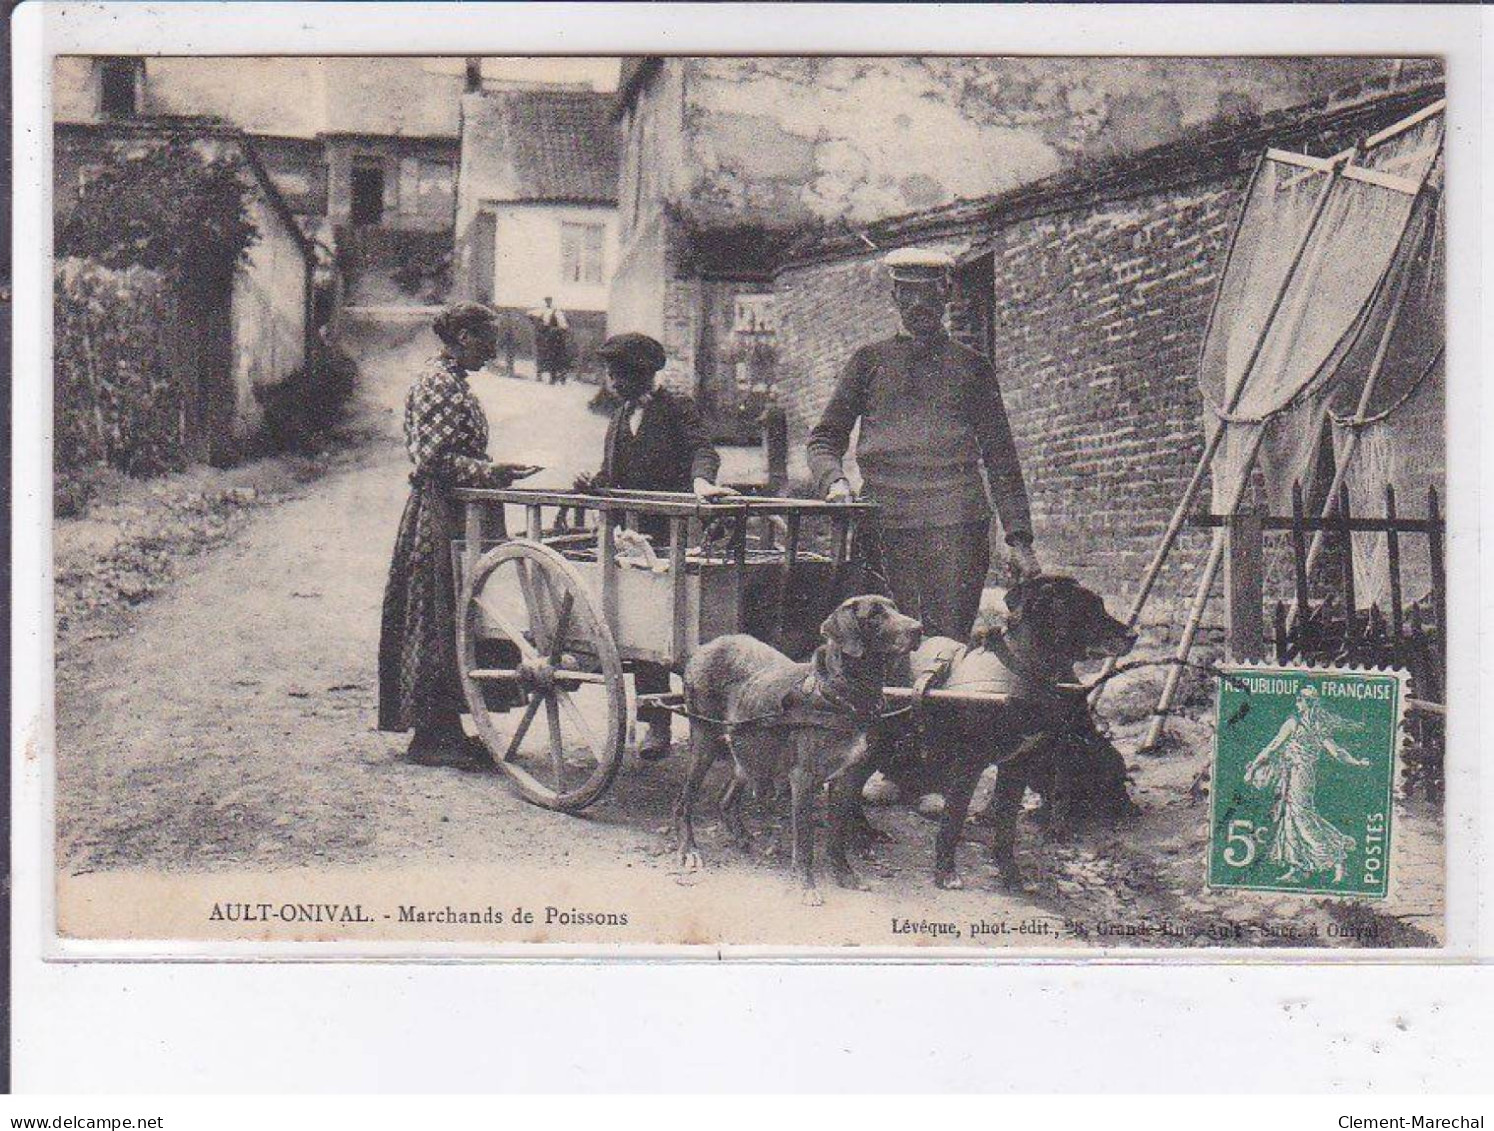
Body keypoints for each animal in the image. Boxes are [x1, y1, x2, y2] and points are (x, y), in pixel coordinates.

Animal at [681, 594, 920, 902]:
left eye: (895, 608)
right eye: (875, 614)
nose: (918, 629)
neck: (842, 695)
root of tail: (702, 648)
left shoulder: (846, 779)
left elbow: (836, 835)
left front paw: (845, 874)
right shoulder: (803, 778)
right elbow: (805, 840)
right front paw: (806, 886)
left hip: (751, 749)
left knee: (725, 798)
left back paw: (741, 836)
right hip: (705, 740)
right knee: (684, 801)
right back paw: (689, 849)